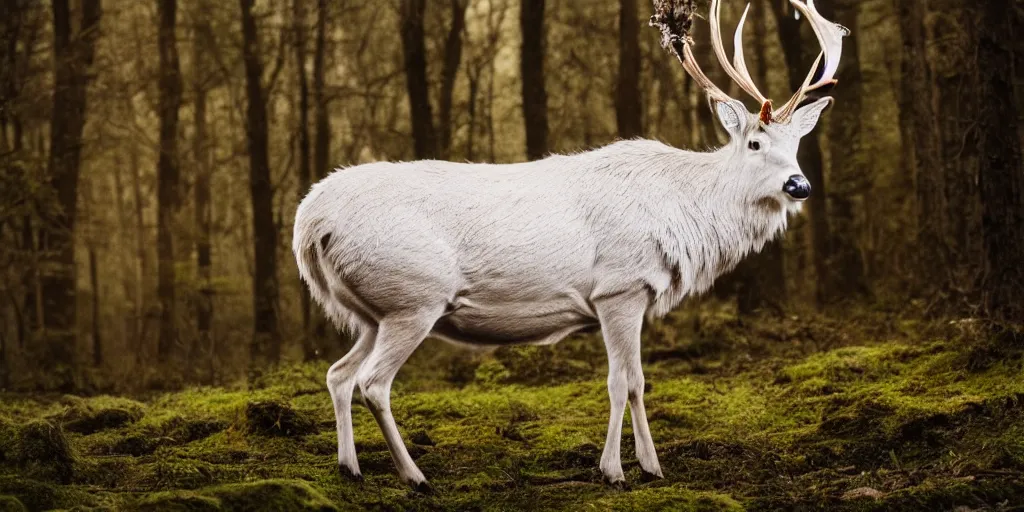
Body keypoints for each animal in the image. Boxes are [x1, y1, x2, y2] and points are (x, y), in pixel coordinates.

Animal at [292, 0, 843, 491]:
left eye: (796, 143)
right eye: (755, 142)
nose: (799, 185)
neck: (682, 216)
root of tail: (308, 223)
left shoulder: (634, 296)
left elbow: (639, 382)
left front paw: (652, 467)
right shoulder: (620, 287)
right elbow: (623, 383)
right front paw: (614, 471)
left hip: (371, 311)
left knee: (338, 374)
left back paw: (350, 467)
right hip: (413, 296)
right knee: (372, 383)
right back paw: (415, 476)